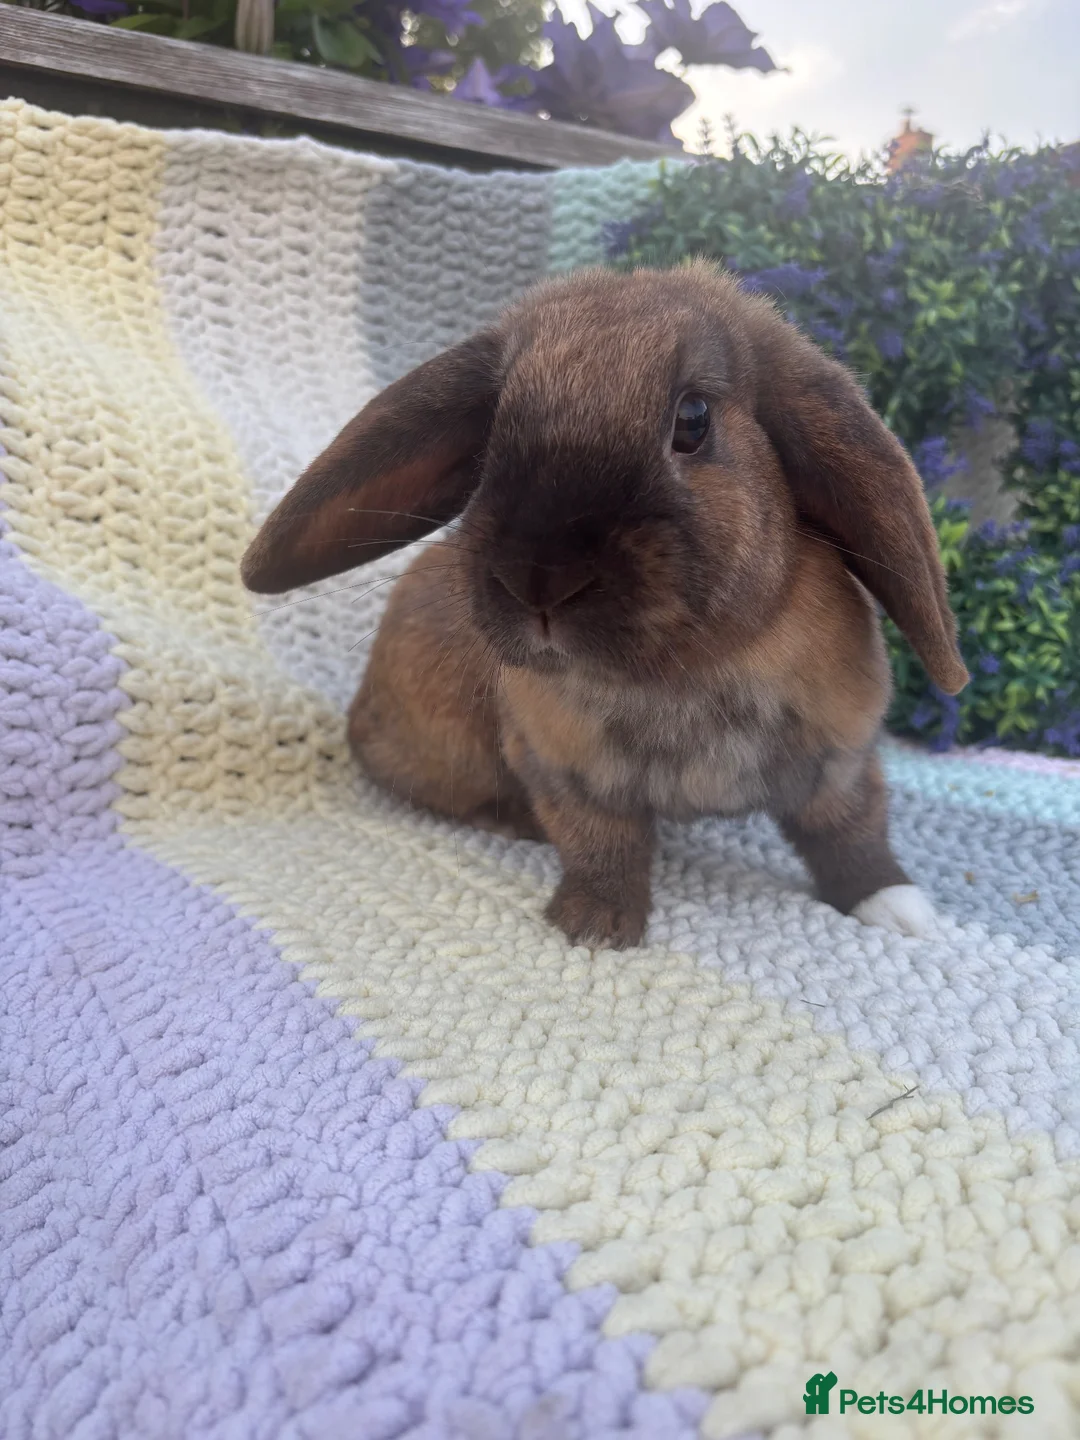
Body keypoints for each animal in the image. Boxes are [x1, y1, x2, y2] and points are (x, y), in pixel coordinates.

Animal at [241, 260, 969, 950]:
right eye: (493, 429)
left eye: (693, 420)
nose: (539, 580)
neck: (684, 672)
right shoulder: (566, 772)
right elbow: (603, 848)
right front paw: (595, 926)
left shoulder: (841, 760)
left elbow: (852, 836)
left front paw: (899, 909)